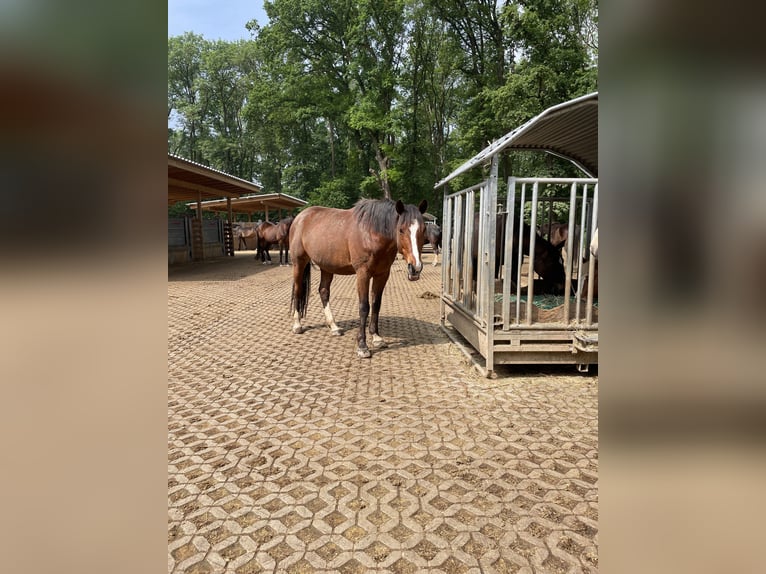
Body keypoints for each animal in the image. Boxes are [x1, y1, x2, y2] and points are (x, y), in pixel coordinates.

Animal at [290, 200, 428, 358]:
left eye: (424, 229)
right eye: (401, 230)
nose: (415, 268)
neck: (371, 233)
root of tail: (300, 217)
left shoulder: (382, 274)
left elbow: (376, 304)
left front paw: (377, 338)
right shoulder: (363, 274)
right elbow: (364, 307)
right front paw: (362, 346)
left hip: (326, 266)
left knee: (323, 291)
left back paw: (334, 327)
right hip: (299, 263)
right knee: (298, 290)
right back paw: (297, 325)